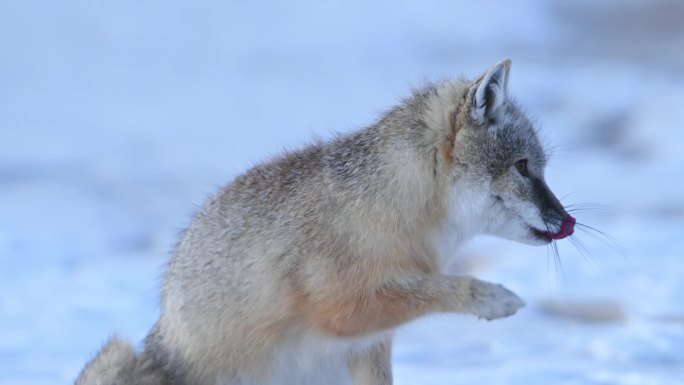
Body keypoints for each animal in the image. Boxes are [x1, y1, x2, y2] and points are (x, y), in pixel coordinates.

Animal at [76, 59, 576, 384]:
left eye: (537, 167)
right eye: (524, 167)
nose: (568, 222)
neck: (394, 205)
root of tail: (161, 337)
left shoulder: (369, 345)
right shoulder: (343, 309)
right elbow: (439, 288)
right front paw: (490, 298)